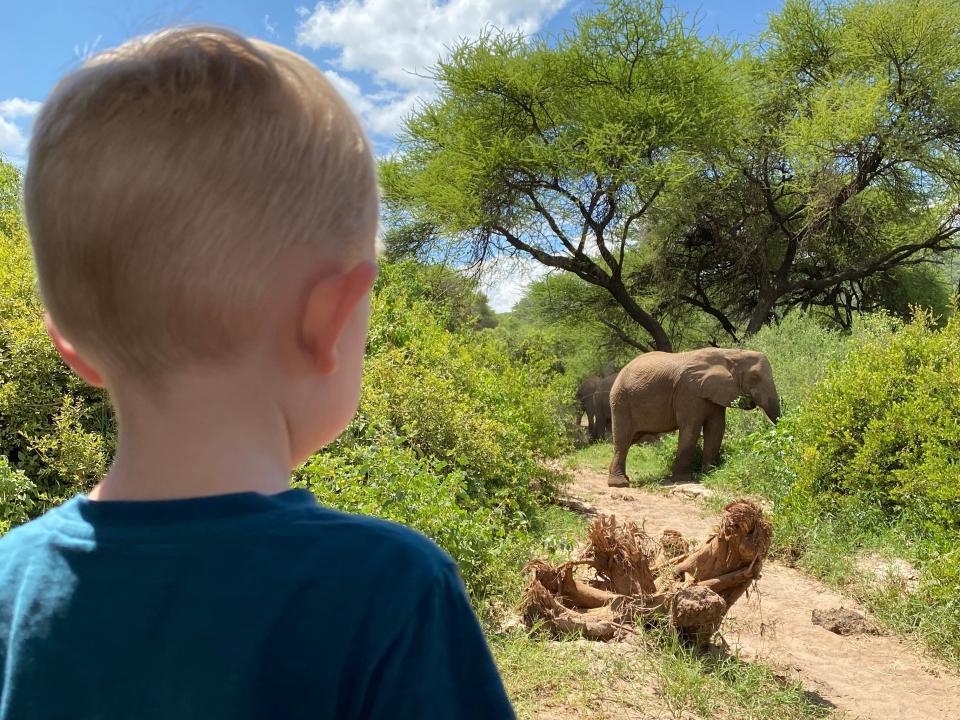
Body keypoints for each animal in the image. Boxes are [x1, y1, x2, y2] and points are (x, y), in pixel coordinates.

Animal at [608, 350, 780, 490]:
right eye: (754, 377)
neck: (730, 353)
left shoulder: (713, 393)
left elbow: (717, 428)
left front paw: (709, 473)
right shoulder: (688, 391)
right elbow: (691, 429)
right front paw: (683, 479)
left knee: (630, 439)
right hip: (621, 401)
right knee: (623, 441)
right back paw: (619, 484)